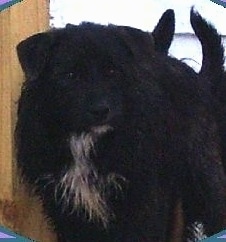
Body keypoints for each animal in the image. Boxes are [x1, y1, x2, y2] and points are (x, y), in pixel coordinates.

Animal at [15, 8, 226, 241]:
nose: (101, 111)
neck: (86, 139)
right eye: (69, 75)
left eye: (112, 71)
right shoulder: (64, 207)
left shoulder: (143, 201)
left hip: (204, 177)